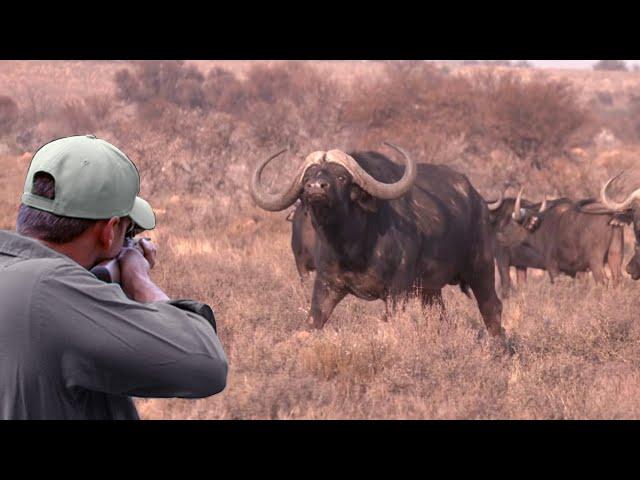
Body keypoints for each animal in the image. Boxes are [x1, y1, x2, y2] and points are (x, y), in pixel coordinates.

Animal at [250, 142, 504, 338]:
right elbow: (313, 321)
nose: (315, 188)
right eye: (307, 179)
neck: (351, 246)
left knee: (492, 307)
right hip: (430, 290)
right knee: (440, 315)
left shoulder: (397, 291)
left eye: (341, 176)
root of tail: (479, 200)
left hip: (481, 268)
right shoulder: (325, 284)